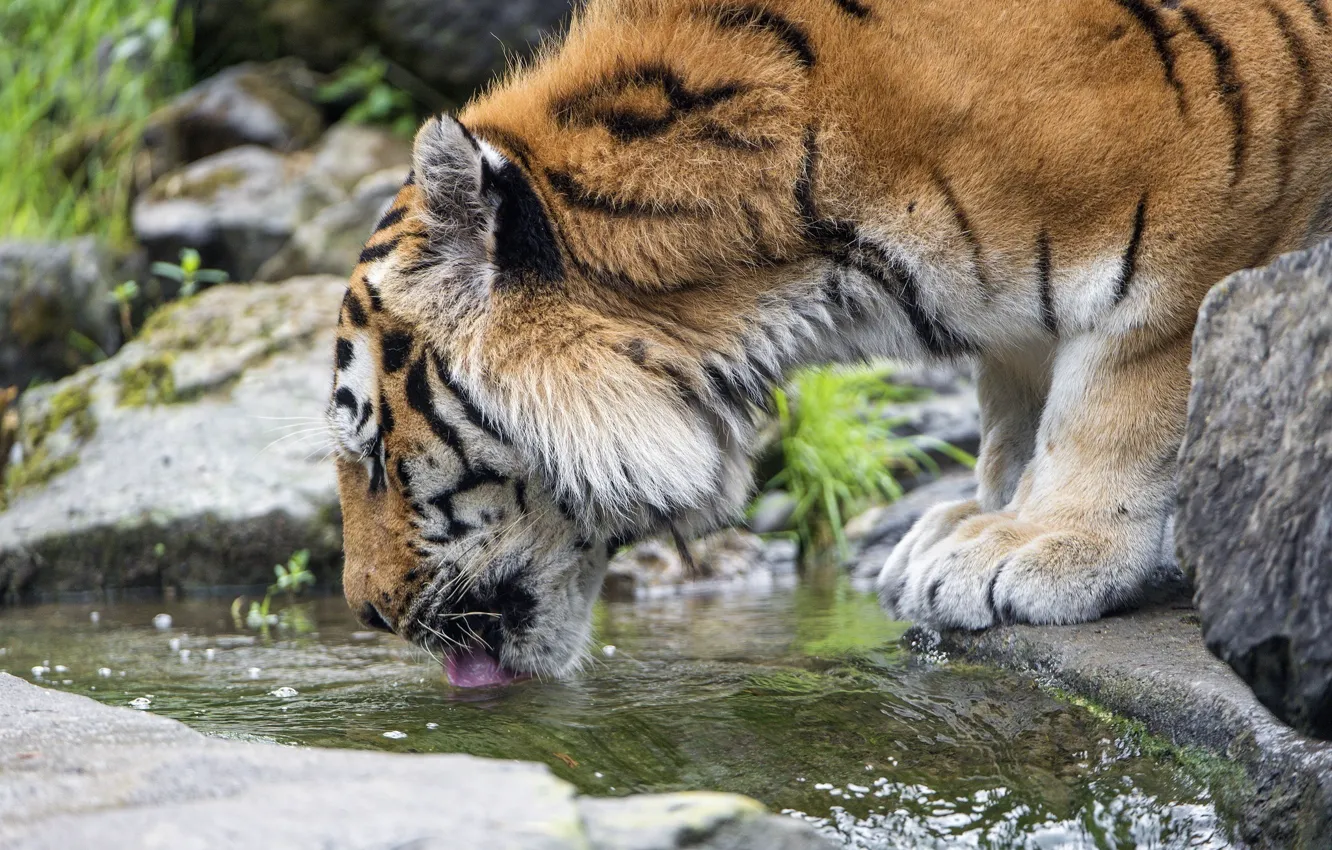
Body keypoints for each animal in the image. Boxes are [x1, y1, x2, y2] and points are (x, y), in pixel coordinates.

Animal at [327, 0, 1332, 687]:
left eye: (375, 455)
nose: (365, 613)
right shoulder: (1017, 315)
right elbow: (1016, 400)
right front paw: (974, 524)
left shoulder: (1203, 230)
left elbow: (1117, 402)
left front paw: (1042, 542)